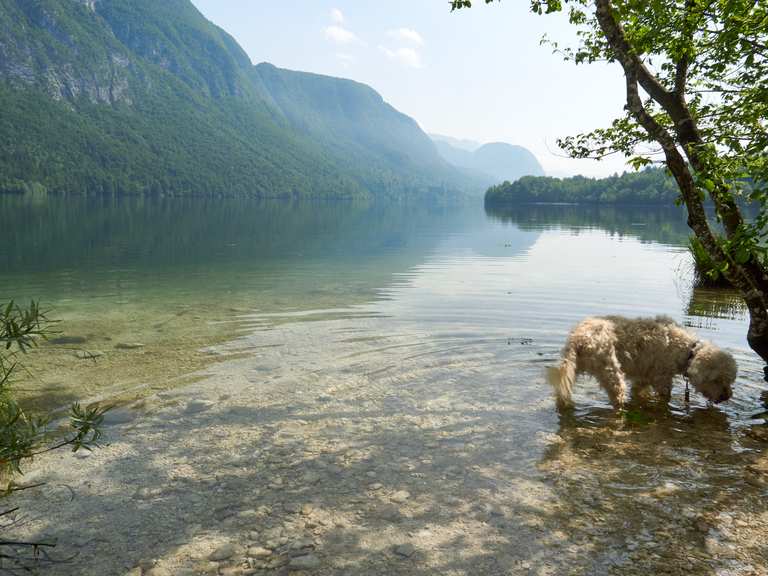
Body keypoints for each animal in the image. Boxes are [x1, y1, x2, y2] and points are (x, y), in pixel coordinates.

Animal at [544, 316, 736, 410]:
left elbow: (640, 391)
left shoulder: (643, 379)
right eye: (718, 380)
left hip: (571, 370)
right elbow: (664, 396)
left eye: (730, 380)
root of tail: (578, 338)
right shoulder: (662, 380)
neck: (687, 350)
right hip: (611, 373)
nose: (727, 396)